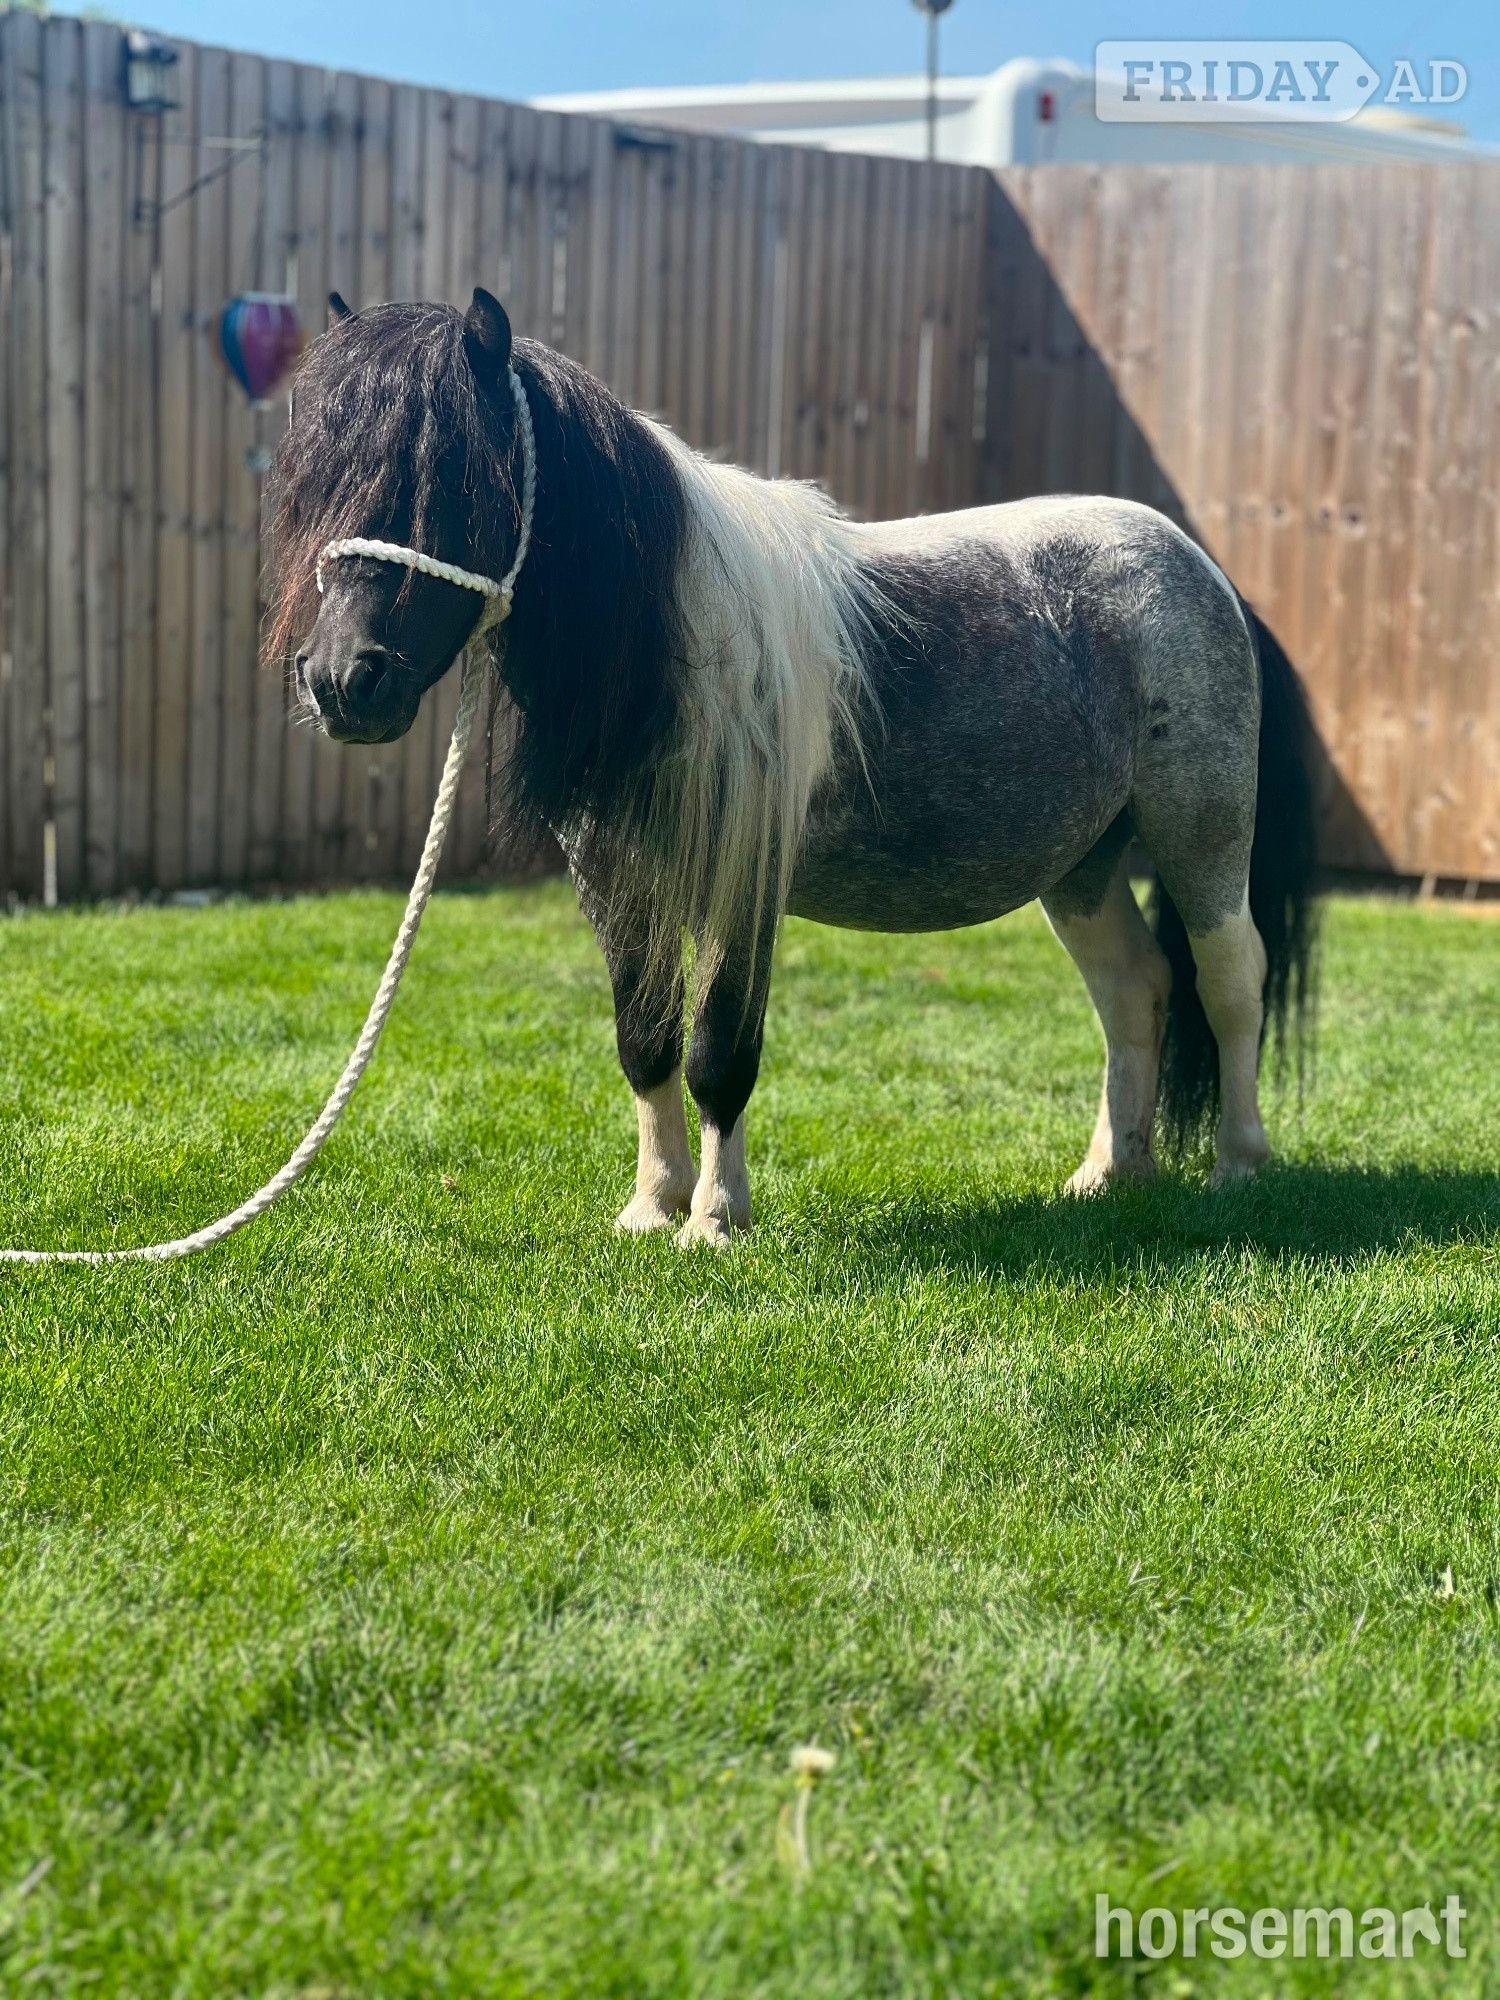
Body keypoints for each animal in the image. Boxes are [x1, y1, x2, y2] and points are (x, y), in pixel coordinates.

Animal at [268, 287, 1318, 1247]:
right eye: (317, 482)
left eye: (455, 479)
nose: (342, 680)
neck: (679, 638)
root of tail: (1203, 569)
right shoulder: (614, 877)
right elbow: (645, 1039)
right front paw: (652, 1206)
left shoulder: (744, 879)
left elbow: (719, 1049)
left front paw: (714, 1219)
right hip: (1082, 866)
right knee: (1134, 989)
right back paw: (1110, 1173)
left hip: (1200, 835)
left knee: (1230, 976)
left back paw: (1238, 1164)